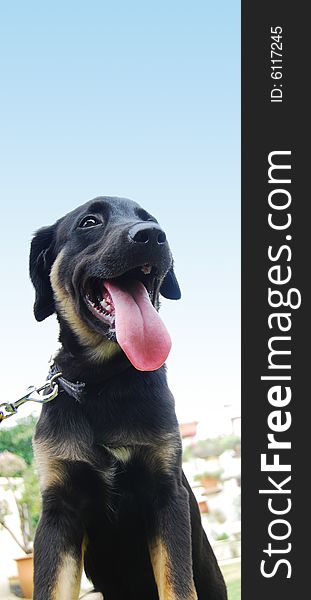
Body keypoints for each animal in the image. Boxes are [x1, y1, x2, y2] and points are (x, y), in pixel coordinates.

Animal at [29, 197, 227, 600]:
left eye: (148, 219)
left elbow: (177, 585)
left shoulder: (165, 494)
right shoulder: (59, 510)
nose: (153, 235)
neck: (104, 381)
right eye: (89, 222)